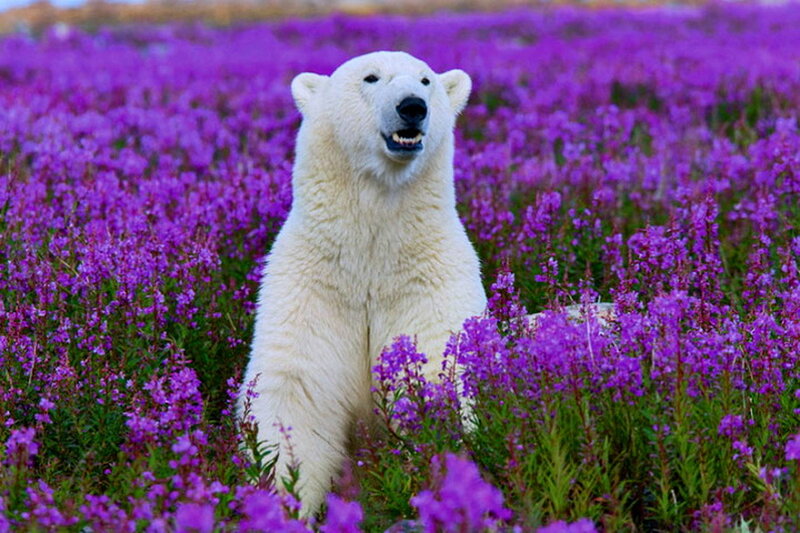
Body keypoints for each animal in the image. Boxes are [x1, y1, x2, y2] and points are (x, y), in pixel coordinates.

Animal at [240, 51, 486, 515]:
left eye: (426, 81)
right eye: (371, 77)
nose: (412, 107)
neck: (370, 255)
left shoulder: (428, 280)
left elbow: (437, 372)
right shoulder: (315, 285)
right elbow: (297, 393)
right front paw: (284, 501)